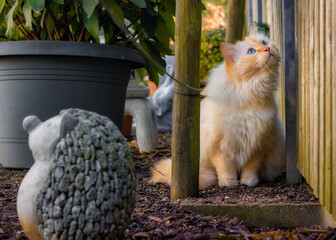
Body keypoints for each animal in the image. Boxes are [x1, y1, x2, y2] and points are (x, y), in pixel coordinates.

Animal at [151, 28, 284, 189]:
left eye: (264, 42)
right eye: (251, 52)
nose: (267, 48)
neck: (249, 91)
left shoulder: (258, 145)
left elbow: (251, 169)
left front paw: (248, 182)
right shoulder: (221, 148)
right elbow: (225, 168)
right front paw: (229, 184)